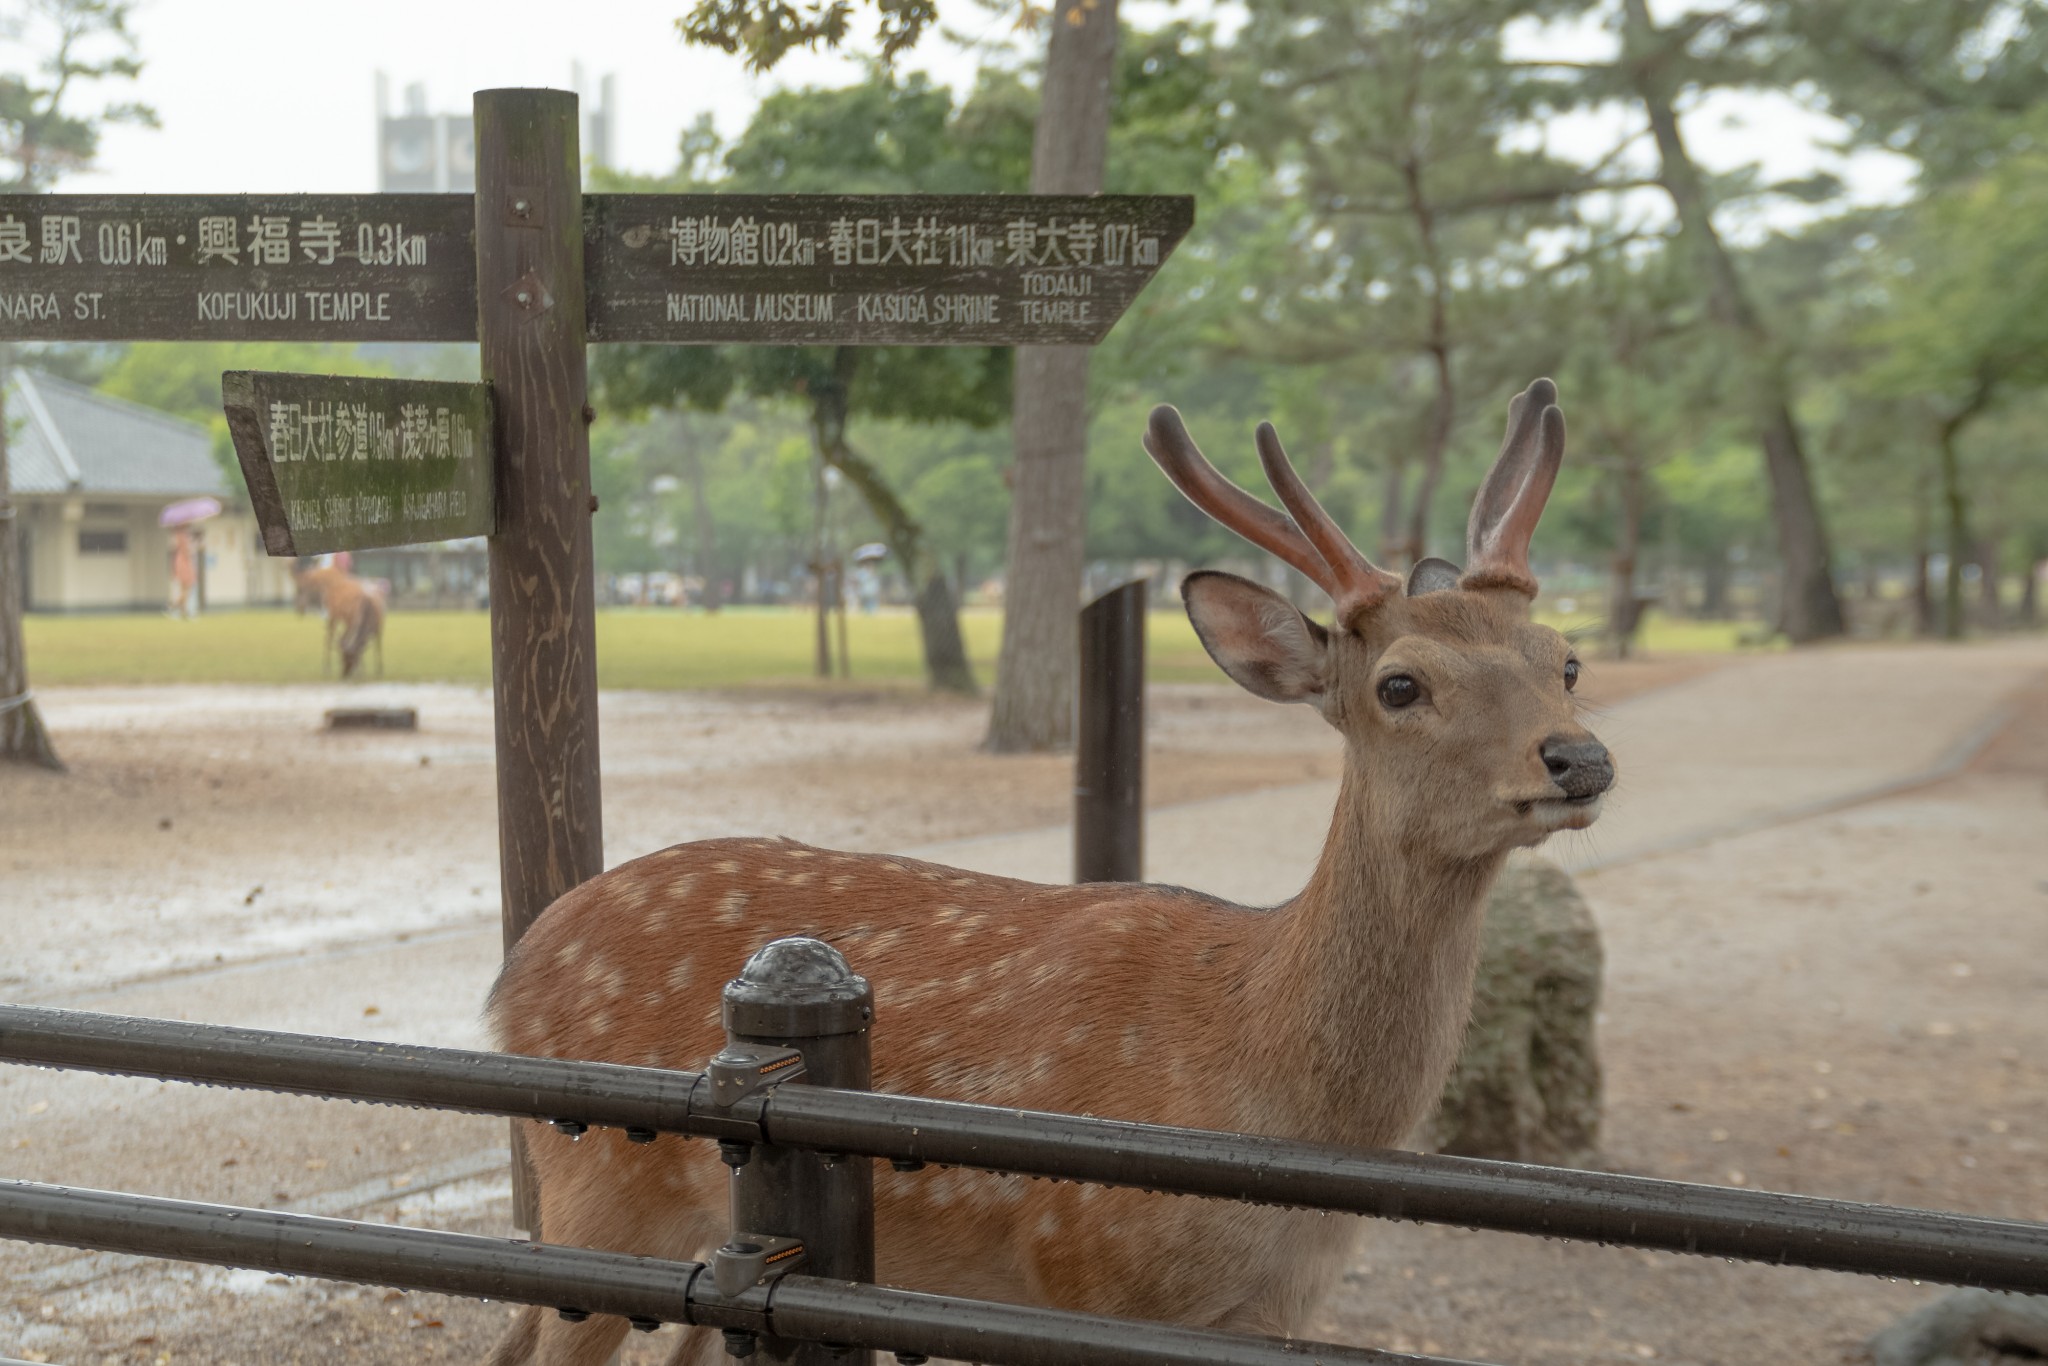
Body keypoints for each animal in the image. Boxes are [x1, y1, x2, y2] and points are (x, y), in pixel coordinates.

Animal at [483, 376, 1613, 1366]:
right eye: (1399, 684)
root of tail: (508, 977)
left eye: (1564, 660)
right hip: (597, 1188)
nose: (1579, 757)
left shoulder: (1268, 1313)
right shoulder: (1082, 1275)